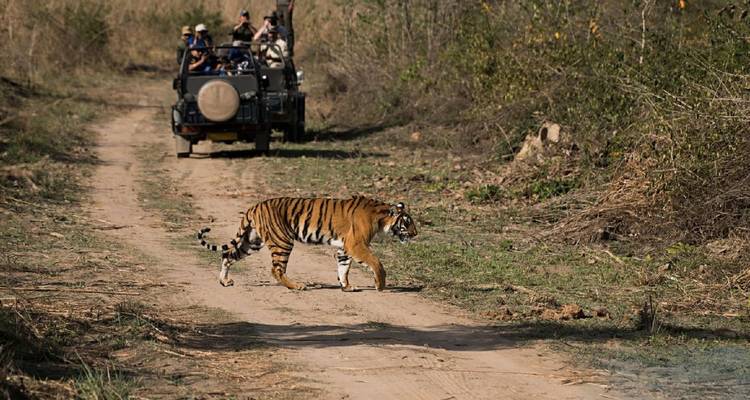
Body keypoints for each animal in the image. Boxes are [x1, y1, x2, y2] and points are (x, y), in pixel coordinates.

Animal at [197, 196, 417, 291]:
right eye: (407, 222)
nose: (416, 234)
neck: (380, 218)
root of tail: (254, 206)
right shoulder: (357, 245)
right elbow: (376, 263)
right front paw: (380, 285)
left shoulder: (344, 247)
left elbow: (343, 267)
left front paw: (346, 286)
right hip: (282, 241)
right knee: (276, 269)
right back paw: (296, 286)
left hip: (252, 242)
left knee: (227, 255)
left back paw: (225, 281)